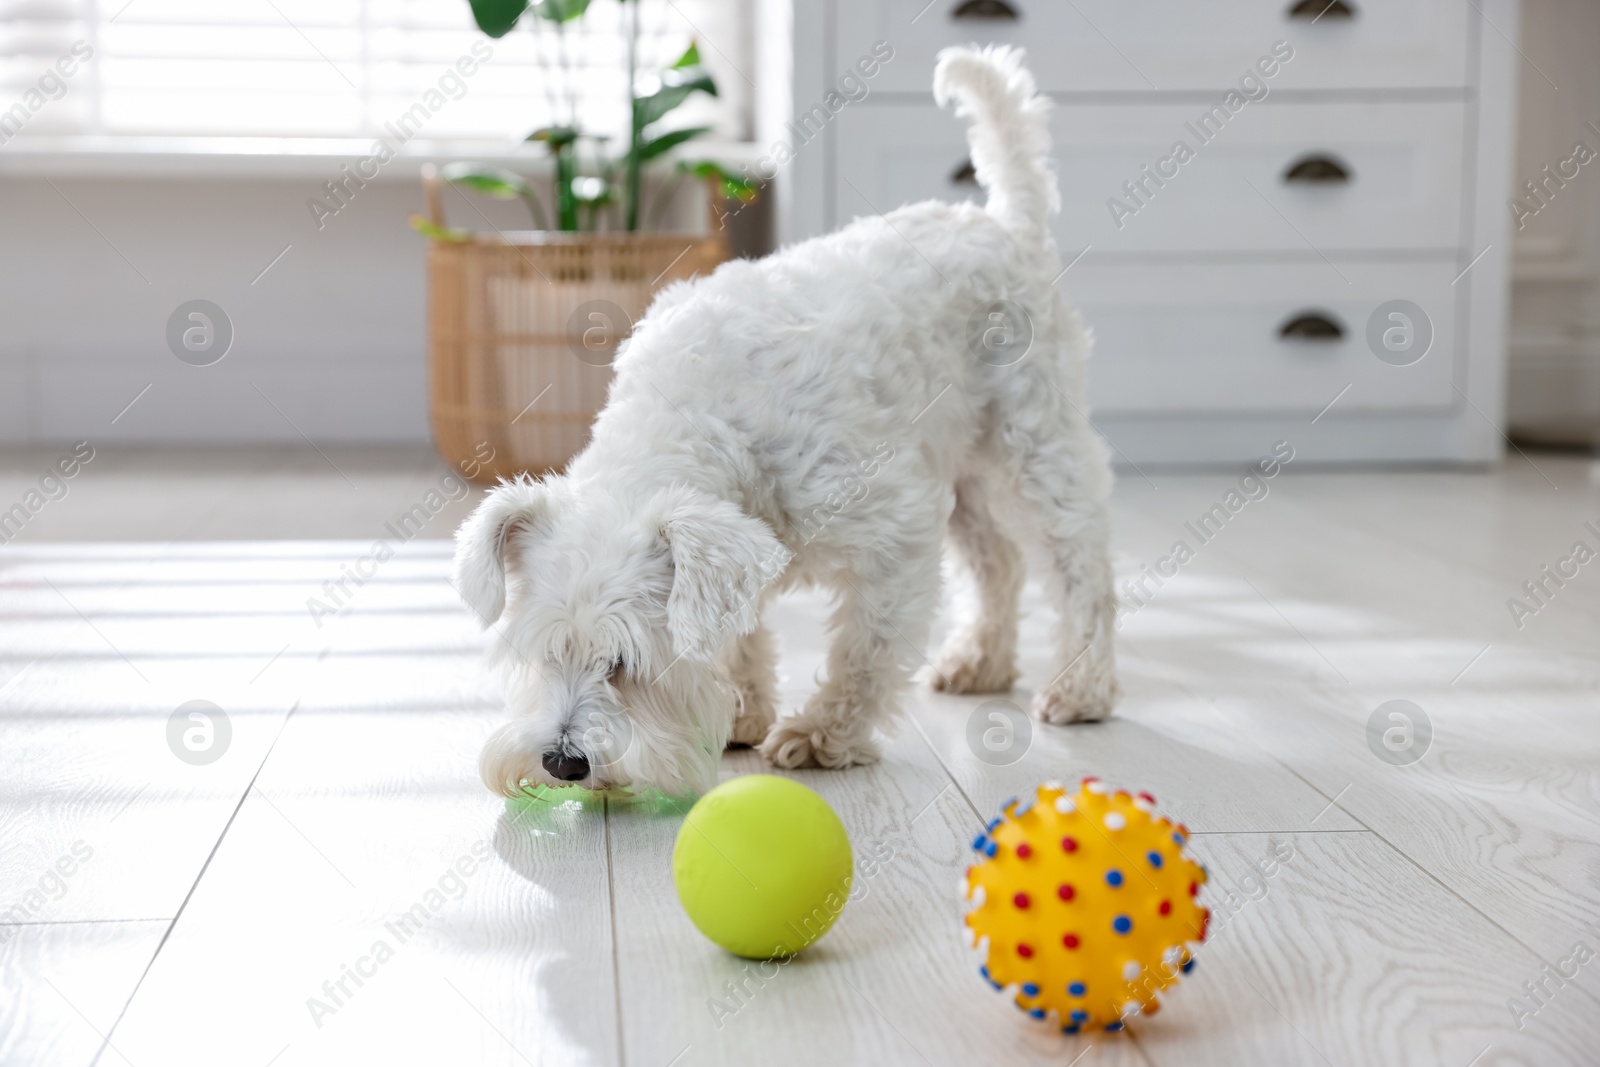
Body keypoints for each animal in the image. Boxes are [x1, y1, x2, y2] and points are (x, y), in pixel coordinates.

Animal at [457, 45, 1120, 796]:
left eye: (626, 664)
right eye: (541, 653)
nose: (564, 763)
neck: (707, 418)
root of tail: (1007, 223)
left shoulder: (896, 531)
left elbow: (866, 649)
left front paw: (824, 734)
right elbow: (741, 631)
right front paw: (742, 711)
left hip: (1035, 446)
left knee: (1079, 563)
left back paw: (1082, 688)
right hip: (964, 471)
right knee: (998, 563)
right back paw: (981, 663)